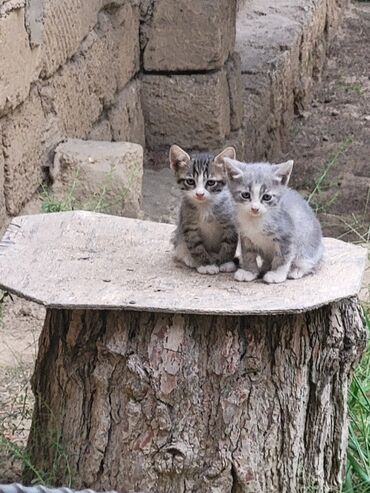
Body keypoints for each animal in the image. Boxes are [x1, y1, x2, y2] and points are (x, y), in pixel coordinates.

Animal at [170, 144, 238, 274]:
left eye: (211, 183)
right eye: (190, 181)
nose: (199, 194)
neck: (205, 205)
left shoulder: (230, 223)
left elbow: (229, 244)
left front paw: (225, 262)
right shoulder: (189, 224)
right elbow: (196, 247)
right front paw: (205, 264)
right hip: (179, 233)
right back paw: (189, 258)